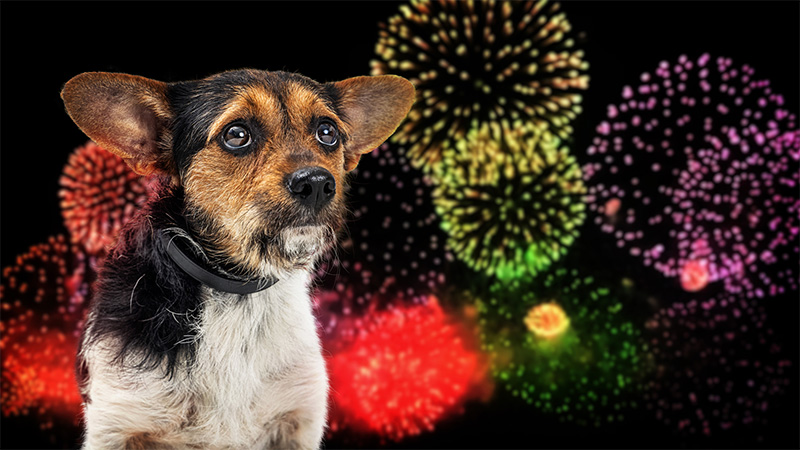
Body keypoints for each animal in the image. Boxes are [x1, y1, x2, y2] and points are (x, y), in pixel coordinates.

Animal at [61, 67, 412, 450]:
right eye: (237, 134)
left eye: (327, 132)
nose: (318, 183)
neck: (236, 290)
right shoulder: (119, 421)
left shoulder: (296, 417)